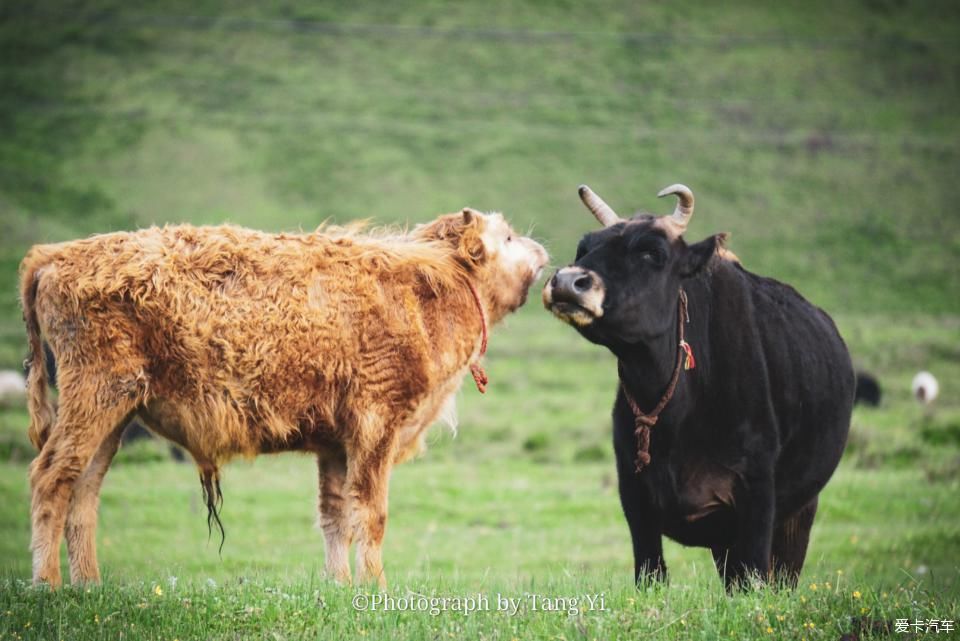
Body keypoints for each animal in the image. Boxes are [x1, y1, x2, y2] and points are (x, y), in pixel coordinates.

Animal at [20, 210, 548, 584]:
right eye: (505, 237)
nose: (541, 247)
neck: (431, 287)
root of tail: (54, 255)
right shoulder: (376, 428)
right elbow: (371, 516)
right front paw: (377, 588)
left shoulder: (336, 445)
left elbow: (335, 516)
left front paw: (341, 587)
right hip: (96, 396)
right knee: (52, 476)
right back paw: (48, 584)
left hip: (113, 416)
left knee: (83, 489)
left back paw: (89, 584)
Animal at [544, 182, 852, 588]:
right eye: (584, 247)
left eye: (652, 252)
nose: (567, 282)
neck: (678, 414)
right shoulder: (634, 493)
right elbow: (651, 573)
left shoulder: (758, 494)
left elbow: (755, 574)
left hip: (800, 510)